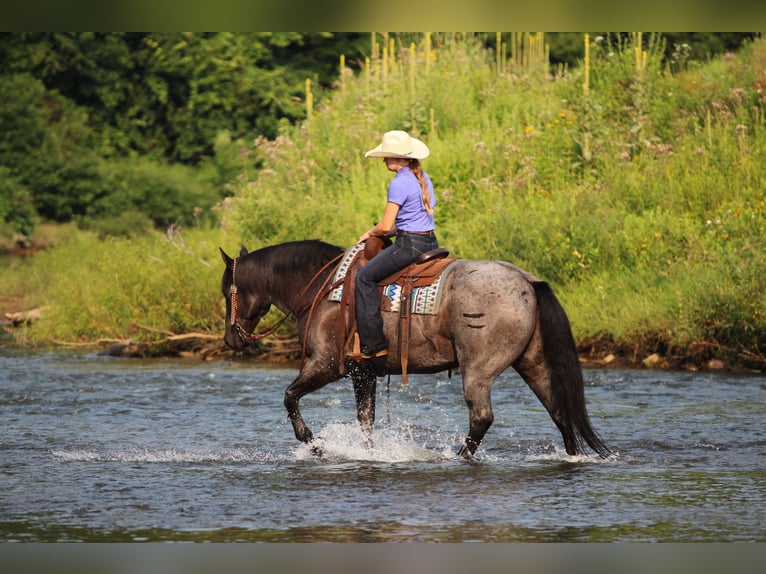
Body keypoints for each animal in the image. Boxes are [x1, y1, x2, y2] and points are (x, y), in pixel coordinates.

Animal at [219, 239, 611, 459]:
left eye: (227, 292)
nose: (231, 340)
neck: (325, 289)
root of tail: (527, 281)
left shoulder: (327, 366)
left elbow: (290, 398)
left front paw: (314, 445)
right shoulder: (364, 372)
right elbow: (366, 421)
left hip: (479, 370)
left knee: (482, 417)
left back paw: (457, 458)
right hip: (533, 363)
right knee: (559, 411)